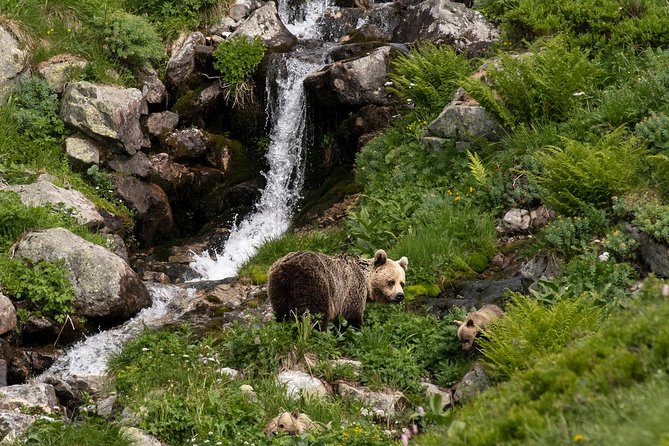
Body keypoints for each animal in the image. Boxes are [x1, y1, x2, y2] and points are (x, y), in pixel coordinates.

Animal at [268, 251, 408, 328]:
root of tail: (286, 269)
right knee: (315, 314)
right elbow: (351, 316)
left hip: (278, 289)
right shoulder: (352, 289)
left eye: (402, 283)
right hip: (314, 283)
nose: (400, 295)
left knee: (282, 313)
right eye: (391, 282)